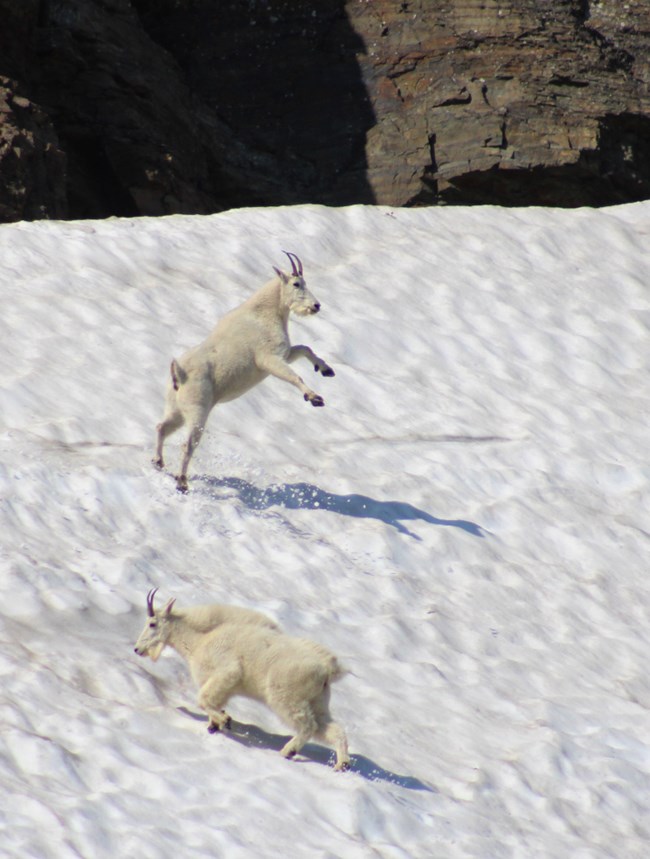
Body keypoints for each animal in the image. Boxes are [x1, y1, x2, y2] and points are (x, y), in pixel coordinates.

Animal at [132, 592, 352, 772]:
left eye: (152, 623)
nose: (137, 649)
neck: (198, 641)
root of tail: (327, 669)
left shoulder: (227, 672)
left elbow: (203, 700)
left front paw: (224, 721)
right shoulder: (223, 685)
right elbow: (212, 702)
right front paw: (214, 725)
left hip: (286, 697)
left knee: (308, 726)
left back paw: (288, 751)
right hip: (318, 702)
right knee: (332, 729)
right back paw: (341, 764)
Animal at [153, 250, 334, 490]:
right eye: (297, 284)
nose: (316, 306)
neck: (265, 312)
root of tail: (179, 374)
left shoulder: (284, 354)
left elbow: (305, 348)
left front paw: (326, 370)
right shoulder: (268, 359)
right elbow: (294, 376)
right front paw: (314, 398)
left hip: (176, 409)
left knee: (161, 427)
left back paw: (158, 462)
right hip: (197, 409)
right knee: (188, 444)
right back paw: (181, 482)